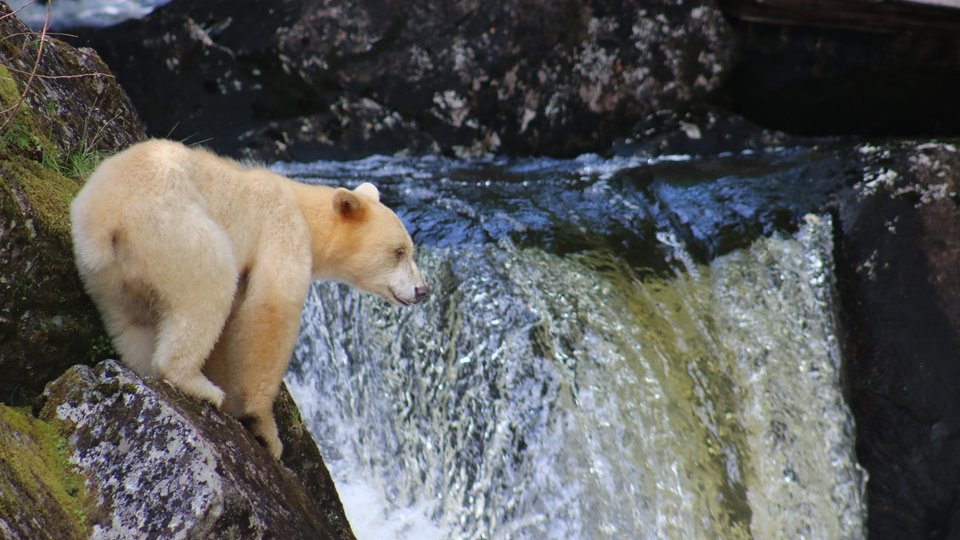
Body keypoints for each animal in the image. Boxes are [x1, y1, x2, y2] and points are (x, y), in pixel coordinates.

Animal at [70, 139, 429, 459]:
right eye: (399, 251)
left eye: (409, 249)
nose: (422, 290)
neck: (304, 207)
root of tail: (104, 220)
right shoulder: (283, 227)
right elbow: (269, 308)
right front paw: (265, 428)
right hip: (174, 230)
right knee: (211, 285)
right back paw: (197, 384)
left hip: (108, 276)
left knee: (132, 322)